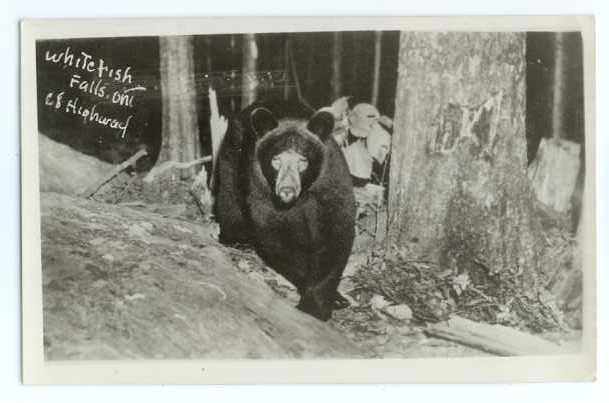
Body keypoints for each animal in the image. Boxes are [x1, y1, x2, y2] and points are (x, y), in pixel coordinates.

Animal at [215, 105, 354, 322]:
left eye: (303, 161)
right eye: (276, 160)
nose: (286, 190)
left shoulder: (331, 181)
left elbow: (336, 233)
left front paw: (321, 303)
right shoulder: (261, 185)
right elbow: (276, 236)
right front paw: (314, 301)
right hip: (233, 151)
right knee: (228, 193)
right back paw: (235, 238)